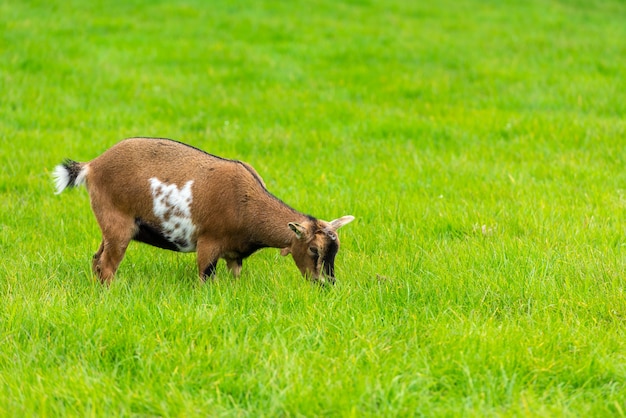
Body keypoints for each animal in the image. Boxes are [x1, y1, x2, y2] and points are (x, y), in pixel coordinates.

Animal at [51, 137, 354, 284]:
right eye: (314, 250)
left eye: (335, 251)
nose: (326, 284)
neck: (247, 204)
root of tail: (92, 166)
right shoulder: (209, 243)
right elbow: (205, 278)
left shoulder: (234, 254)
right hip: (118, 224)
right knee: (106, 265)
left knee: (96, 259)